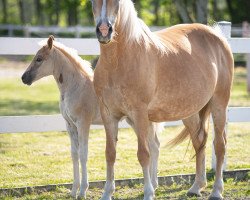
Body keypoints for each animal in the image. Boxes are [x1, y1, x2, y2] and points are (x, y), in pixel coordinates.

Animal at [21, 36, 102, 198]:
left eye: (39, 58)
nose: (24, 78)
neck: (77, 87)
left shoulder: (83, 123)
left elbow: (83, 154)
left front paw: (83, 191)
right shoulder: (70, 125)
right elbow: (74, 154)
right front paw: (74, 191)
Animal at [92, 0, 234, 199]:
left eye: (117, 2)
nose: (104, 30)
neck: (119, 60)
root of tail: (218, 36)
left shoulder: (140, 114)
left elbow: (144, 154)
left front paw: (148, 192)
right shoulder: (108, 115)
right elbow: (110, 153)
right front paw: (107, 193)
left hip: (219, 104)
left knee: (220, 145)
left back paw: (216, 191)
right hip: (189, 112)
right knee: (199, 142)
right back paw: (196, 187)